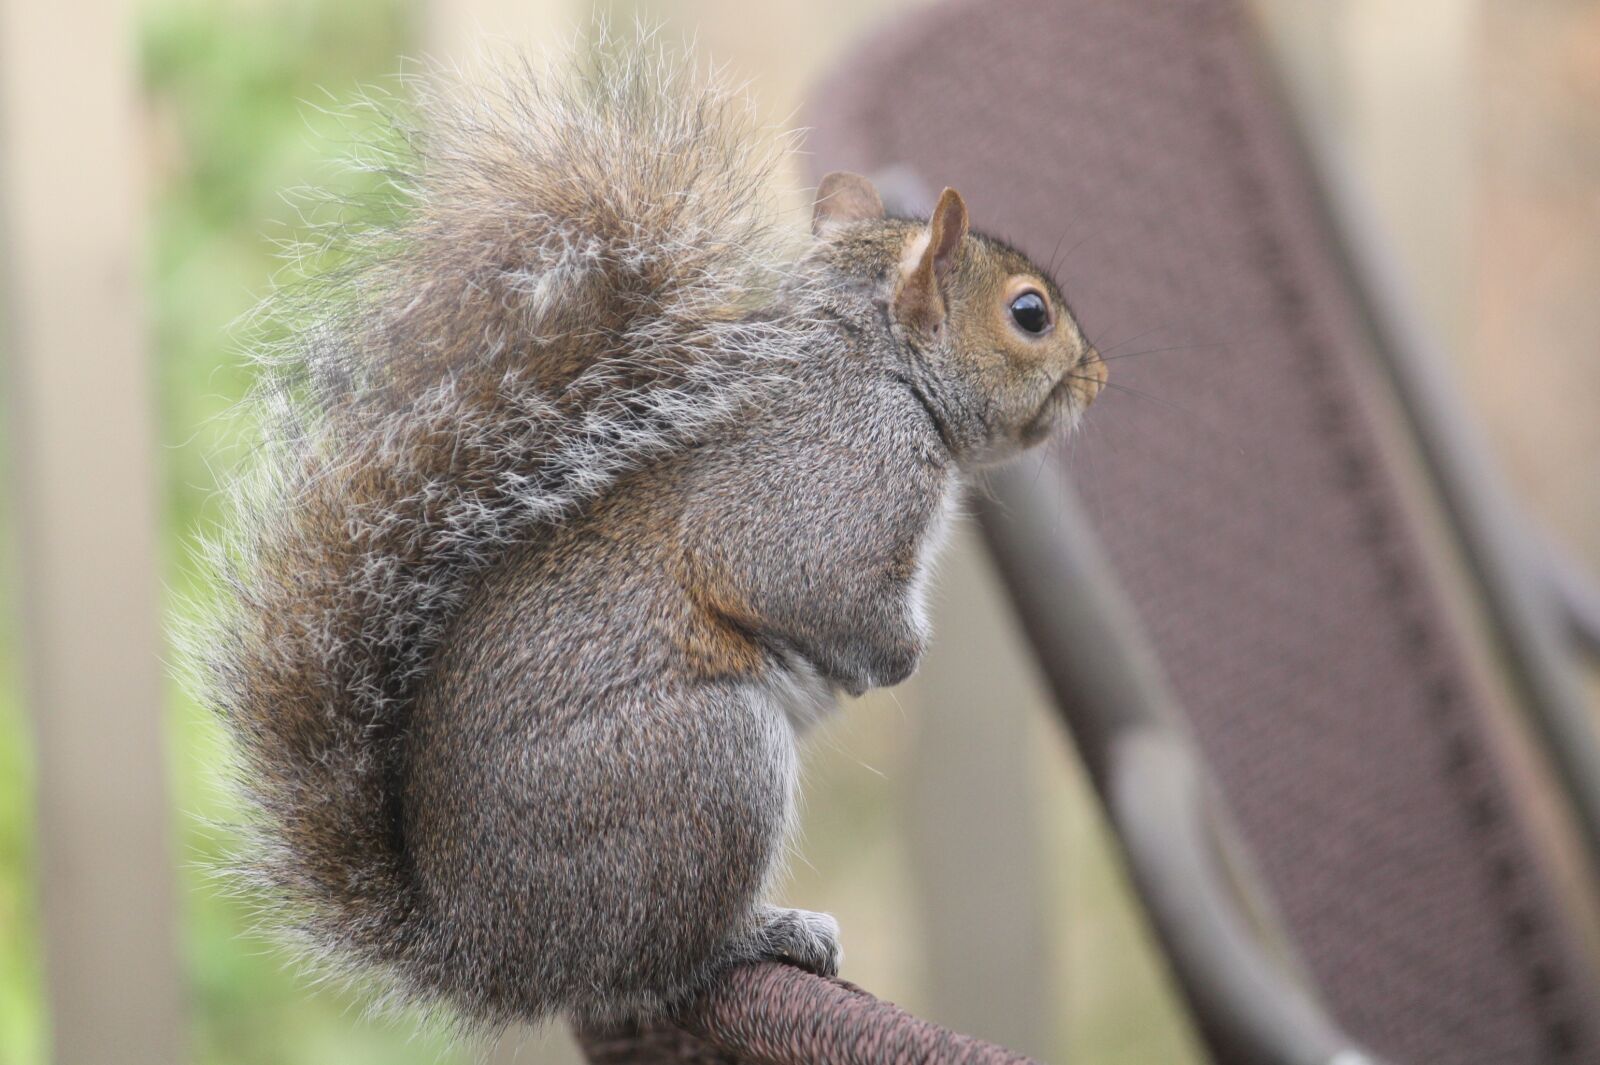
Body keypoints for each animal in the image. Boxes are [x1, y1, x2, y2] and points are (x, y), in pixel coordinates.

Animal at [191, 37, 1105, 1033]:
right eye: (1029, 313)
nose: (1098, 375)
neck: (876, 364)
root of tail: (487, 949)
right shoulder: (835, 478)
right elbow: (805, 582)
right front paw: (895, 658)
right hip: (706, 765)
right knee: (657, 961)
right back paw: (763, 931)